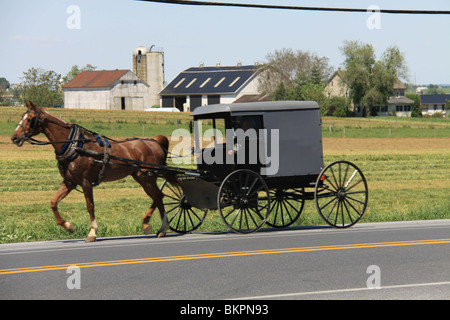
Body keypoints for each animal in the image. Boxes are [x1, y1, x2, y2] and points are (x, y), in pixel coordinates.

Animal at [9, 101, 177, 241]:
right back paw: (151, 225)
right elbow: (53, 202)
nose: (14, 138)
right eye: (22, 116)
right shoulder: (69, 182)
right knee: (158, 196)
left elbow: (90, 206)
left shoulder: (85, 182)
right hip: (141, 177)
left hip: (146, 177)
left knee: (158, 196)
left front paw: (92, 232)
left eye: (30, 119)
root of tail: (154, 141)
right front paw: (68, 226)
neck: (75, 145)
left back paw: (160, 227)